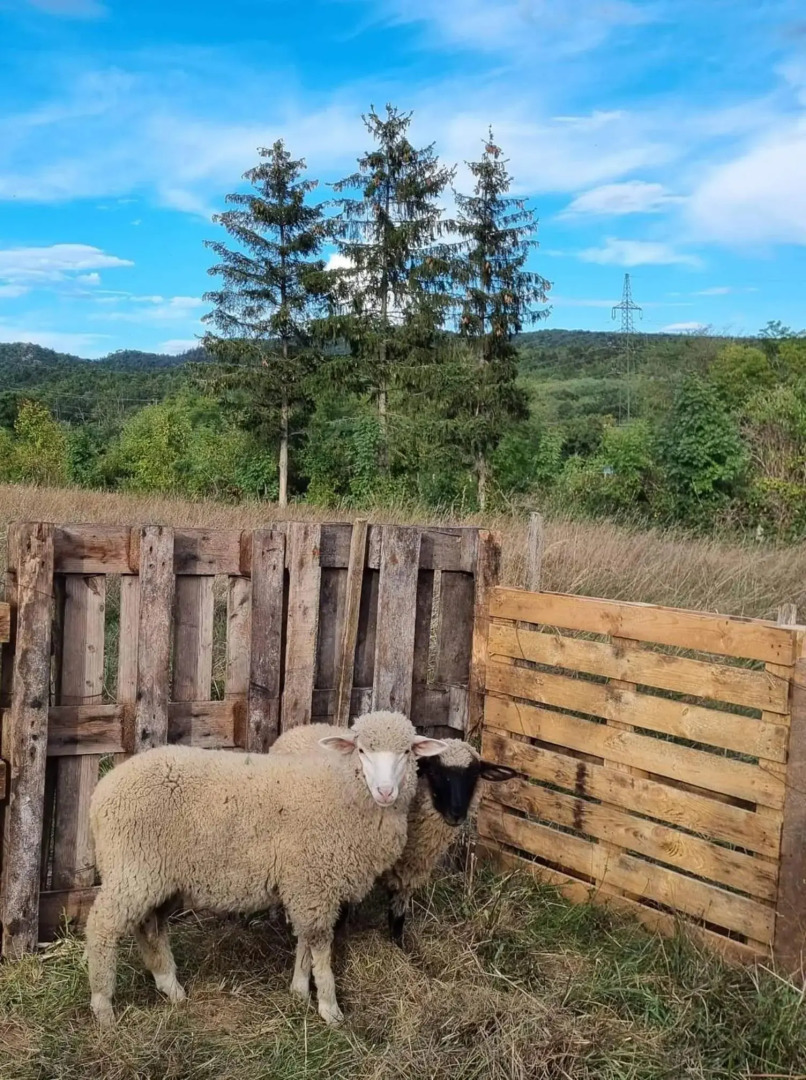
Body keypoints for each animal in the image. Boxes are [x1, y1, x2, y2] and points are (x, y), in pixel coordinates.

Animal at [85, 711, 447, 1028]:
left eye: (406, 751)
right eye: (361, 750)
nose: (385, 792)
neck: (341, 789)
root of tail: (102, 791)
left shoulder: (306, 884)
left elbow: (305, 940)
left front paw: (299, 990)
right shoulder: (314, 882)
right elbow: (319, 944)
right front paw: (329, 1007)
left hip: (161, 877)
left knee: (151, 926)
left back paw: (170, 987)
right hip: (133, 868)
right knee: (102, 926)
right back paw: (103, 1006)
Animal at [271, 723, 516, 945]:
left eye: (474, 775)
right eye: (435, 773)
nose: (456, 814)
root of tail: (303, 726)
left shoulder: (408, 871)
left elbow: (398, 918)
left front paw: (400, 948)